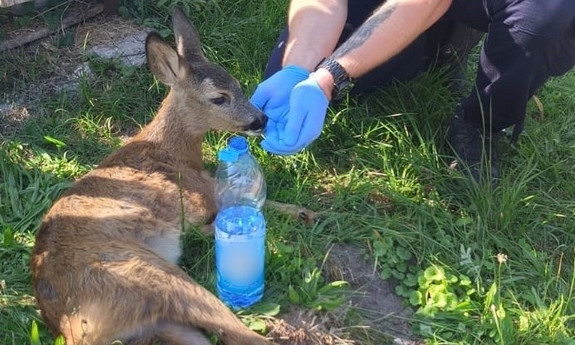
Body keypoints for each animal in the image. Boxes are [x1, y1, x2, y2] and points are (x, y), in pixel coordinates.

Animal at [31, 8, 318, 344]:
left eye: (238, 84)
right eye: (219, 98)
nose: (260, 119)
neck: (174, 152)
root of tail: (75, 327)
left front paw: (305, 213)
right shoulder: (197, 199)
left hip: (159, 316)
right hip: (152, 275)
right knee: (242, 335)